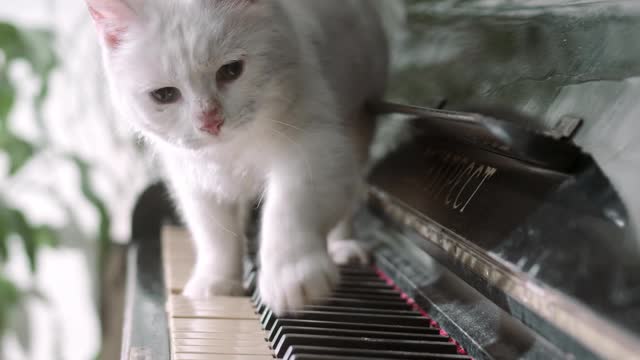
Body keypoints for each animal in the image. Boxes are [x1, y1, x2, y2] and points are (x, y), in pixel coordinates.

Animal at [87, 0, 388, 314]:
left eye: (231, 71)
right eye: (165, 95)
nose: (210, 122)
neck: (230, 151)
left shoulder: (315, 149)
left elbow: (289, 209)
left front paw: (292, 278)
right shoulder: (194, 180)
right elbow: (214, 236)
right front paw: (217, 284)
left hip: (357, 126)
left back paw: (344, 247)